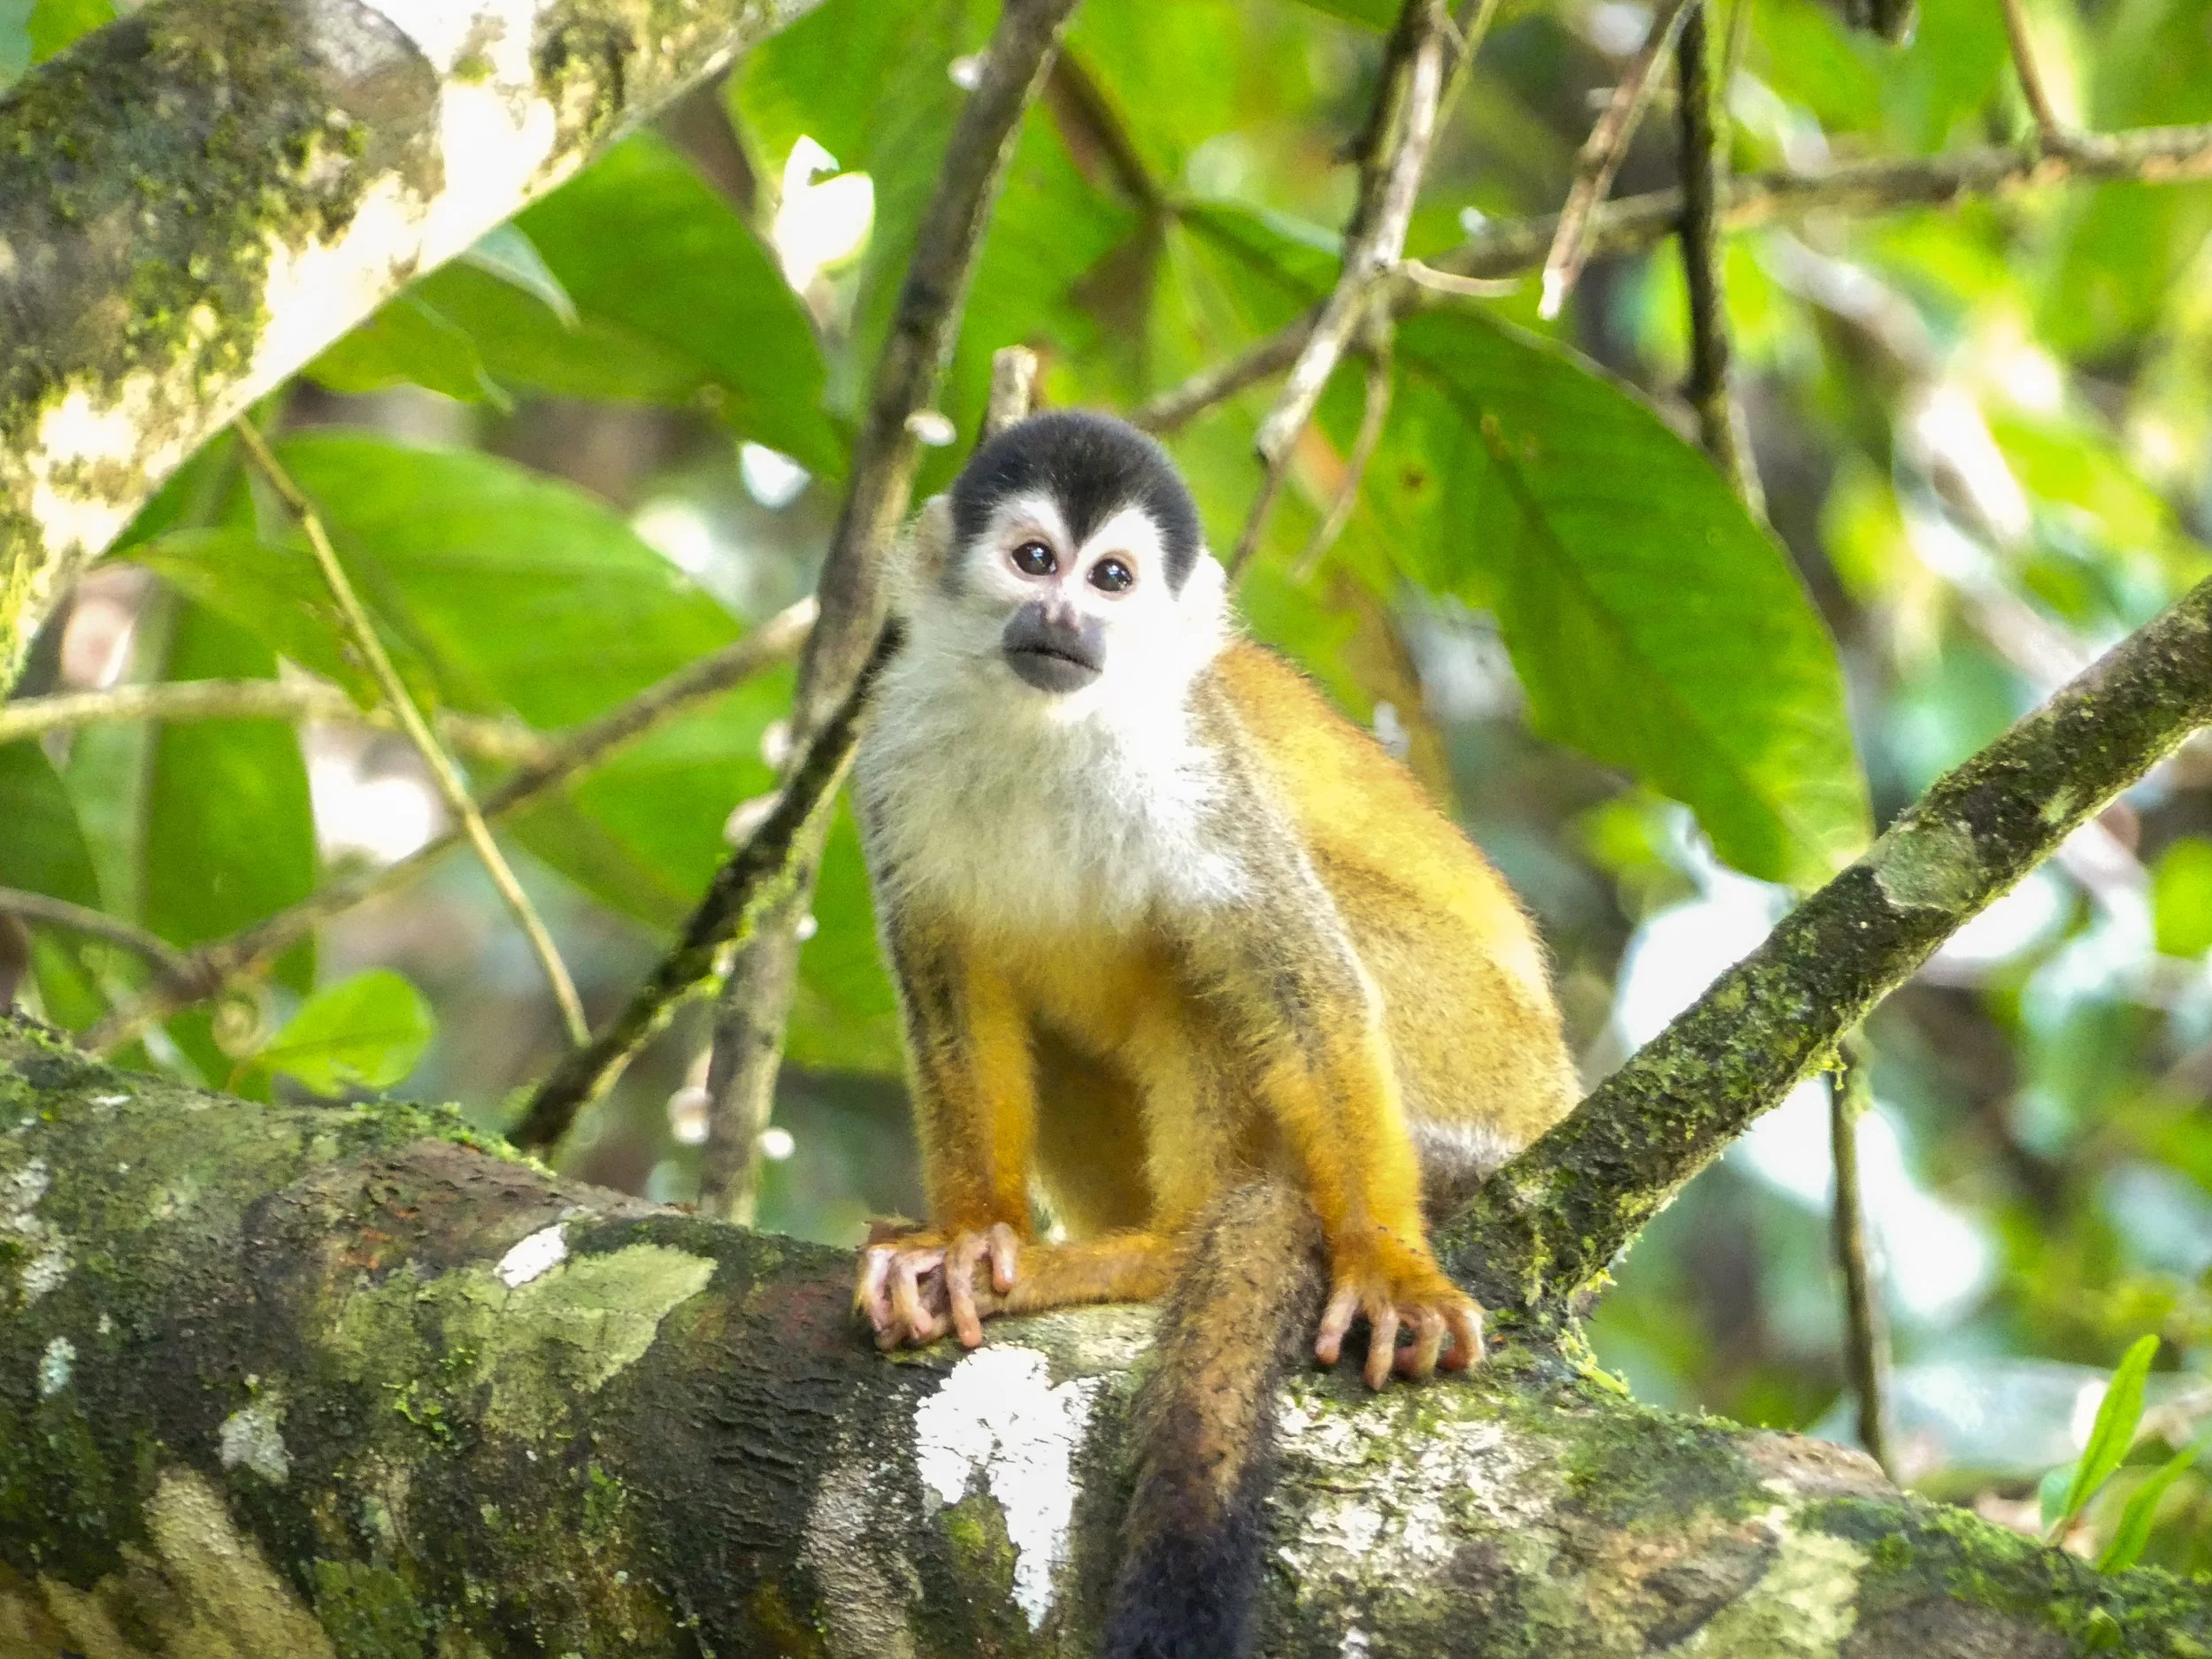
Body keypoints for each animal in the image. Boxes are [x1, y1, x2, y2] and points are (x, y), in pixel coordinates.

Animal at [849, 409, 1577, 1659]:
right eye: (1034, 561)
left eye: (1112, 579)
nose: (1064, 620)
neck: (1048, 727)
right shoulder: (892, 760)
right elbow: (949, 987)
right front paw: (962, 1238)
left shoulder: (1199, 768)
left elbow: (1304, 989)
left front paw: (1391, 1268)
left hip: (1478, 1056)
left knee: (1206, 951)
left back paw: (1167, 1248)